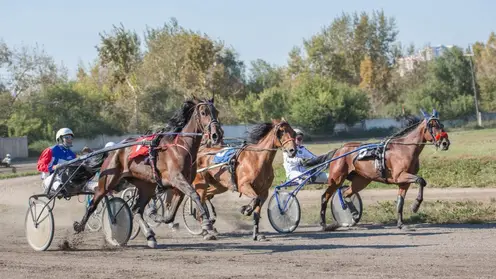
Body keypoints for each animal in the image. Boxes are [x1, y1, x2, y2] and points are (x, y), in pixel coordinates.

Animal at [71, 97, 223, 248]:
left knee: (136, 210)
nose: (217, 135)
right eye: (203, 112)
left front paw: (155, 215)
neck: (180, 148)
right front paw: (207, 224)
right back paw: (79, 226)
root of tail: (113, 151)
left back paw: (150, 236)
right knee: (93, 204)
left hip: (146, 186)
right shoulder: (177, 179)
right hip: (107, 181)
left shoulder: (180, 185)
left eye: (216, 111)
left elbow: (170, 215)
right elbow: (195, 195)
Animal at [304, 109, 452, 232]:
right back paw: (324, 224)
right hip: (336, 178)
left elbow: (400, 202)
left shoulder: (404, 182)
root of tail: (339, 150)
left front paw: (401, 224)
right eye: (432, 125)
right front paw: (415, 206)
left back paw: (354, 214)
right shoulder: (400, 176)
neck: (405, 149)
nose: (445, 143)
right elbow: (421, 180)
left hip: (361, 180)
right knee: (325, 197)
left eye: (441, 125)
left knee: (346, 194)